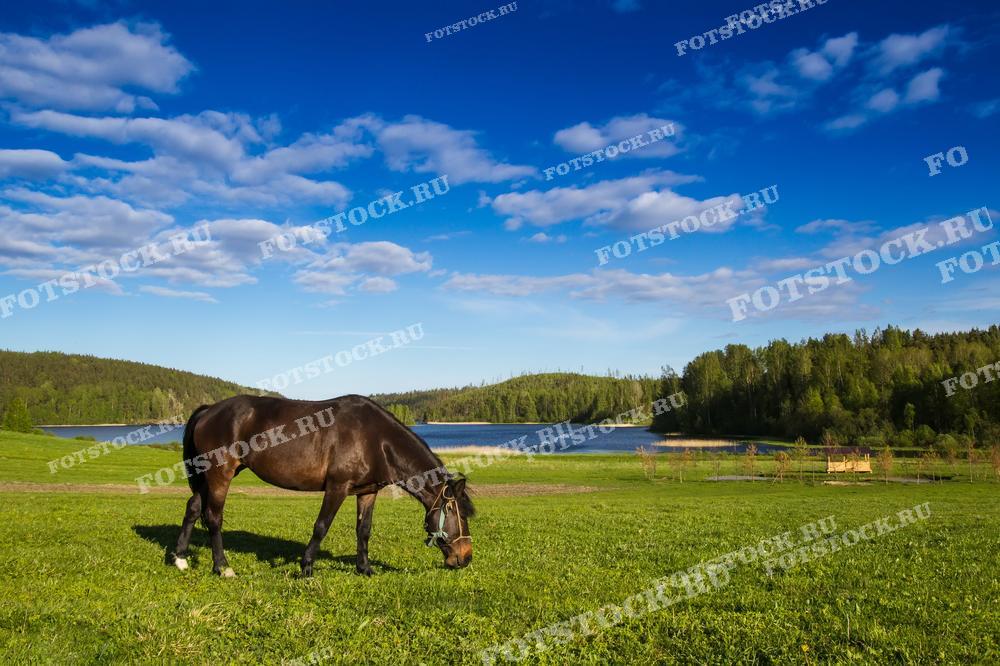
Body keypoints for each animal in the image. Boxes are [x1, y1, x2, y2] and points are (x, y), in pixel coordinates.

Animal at [169, 394, 474, 577]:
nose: (466, 557)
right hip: (220, 474)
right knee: (213, 517)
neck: (375, 439)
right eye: (459, 515)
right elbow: (321, 526)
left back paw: (180, 559)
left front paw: (364, 568)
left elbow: (364, 531)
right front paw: (306, 567)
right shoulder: (337, 488)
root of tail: (210, 410)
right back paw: (222, 567)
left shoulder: (367, 492)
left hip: (206, 476)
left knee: (193, 508)